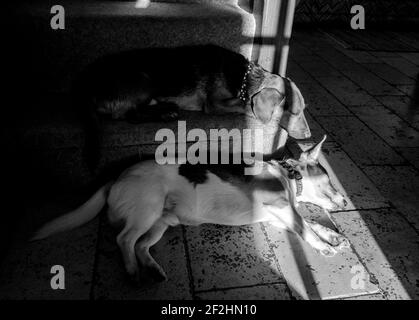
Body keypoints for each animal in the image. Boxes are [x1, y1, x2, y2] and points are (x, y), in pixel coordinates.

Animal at [32, 135, 350, 282]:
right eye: (331, 180)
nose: (346, 201)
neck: (287, 175)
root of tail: (116, 177)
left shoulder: (278, 217)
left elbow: (310, 223)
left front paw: (333, 236)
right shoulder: (281, 207)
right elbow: (306, 227)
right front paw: (324, 245)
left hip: (161, 222)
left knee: (140, 245)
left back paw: (152, 268)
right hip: (148, 210)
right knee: (124, 239)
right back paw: (133, 271)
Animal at [74, 46, 312, 169]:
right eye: (294, 112)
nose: (309, 135)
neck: (244, 78)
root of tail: (83, 83)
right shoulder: (214, 104)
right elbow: (243, 106)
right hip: (143, 79)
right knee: (131, 115)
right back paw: (166, 112)